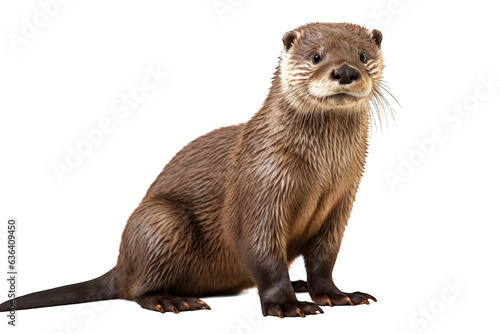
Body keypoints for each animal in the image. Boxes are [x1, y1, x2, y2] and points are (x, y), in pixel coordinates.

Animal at [0, 22, 390, 320]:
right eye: (316, 56)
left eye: (362, 56)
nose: (345, 71)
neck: (320, 172)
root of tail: (122, 263)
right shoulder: (259, 187)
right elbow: (261, 251)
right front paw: (286, 304)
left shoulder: (341, 201)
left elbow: (325, 257)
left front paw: (335, 295)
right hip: (159, 222)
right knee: (136, 289)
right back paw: (172, 299)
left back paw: (298, 284)